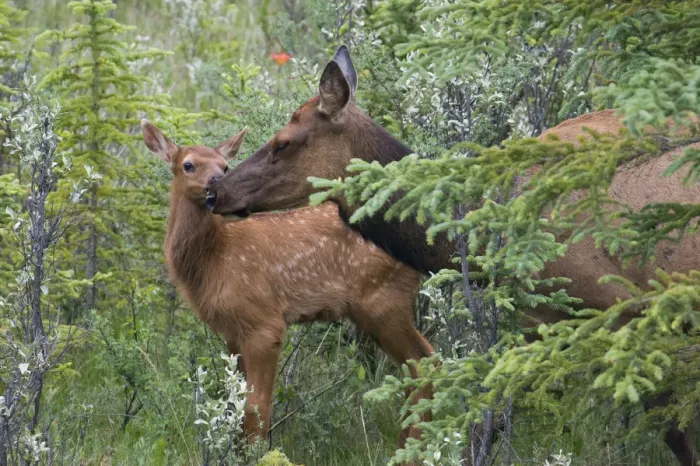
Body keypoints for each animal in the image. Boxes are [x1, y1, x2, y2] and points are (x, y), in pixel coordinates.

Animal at [140, 120, 434, 456]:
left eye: (224, 166)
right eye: (187, 165)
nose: (214, 184)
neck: (215, 259)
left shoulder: (264, 321)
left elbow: (255, 409)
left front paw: (258, 456)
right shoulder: (232, 332)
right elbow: (233, 404)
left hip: (383, 301)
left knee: (427, 361)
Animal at [205, 46, 700, 465]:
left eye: (284, 142)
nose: (216, 190)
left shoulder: (627, 305)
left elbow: (675, 429)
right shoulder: (543, 318)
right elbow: (489, 414)